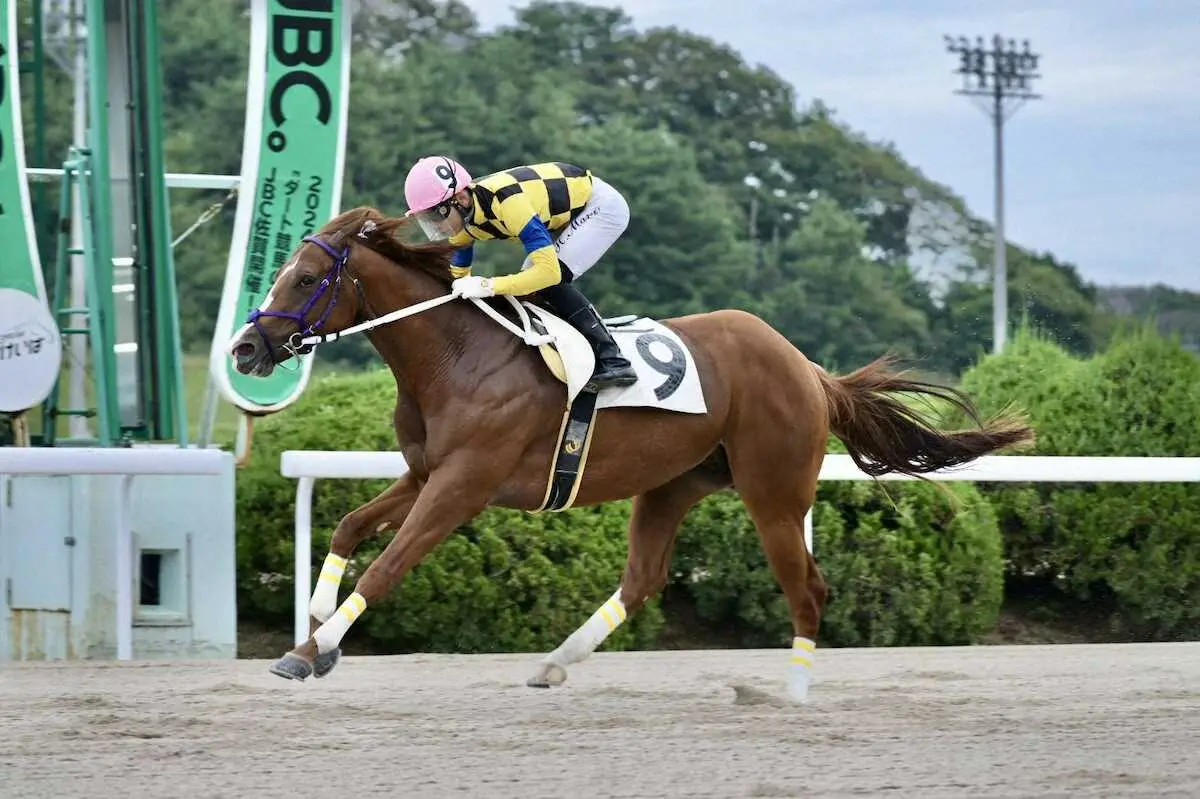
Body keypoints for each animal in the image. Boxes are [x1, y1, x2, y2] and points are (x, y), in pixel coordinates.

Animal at [229, 206, 1036, 705]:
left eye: (306, 278)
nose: (244, 349)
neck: (457, 355)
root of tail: (808, 369)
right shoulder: (428, 471)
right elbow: (349, 526)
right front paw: (317, 629)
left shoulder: (463, 485)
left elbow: (390, 563)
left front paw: (309, 650)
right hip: (674, 483)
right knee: (644, 578)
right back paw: (554, 665)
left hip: (774, 492)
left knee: (808, 589)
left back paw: (794, 694)